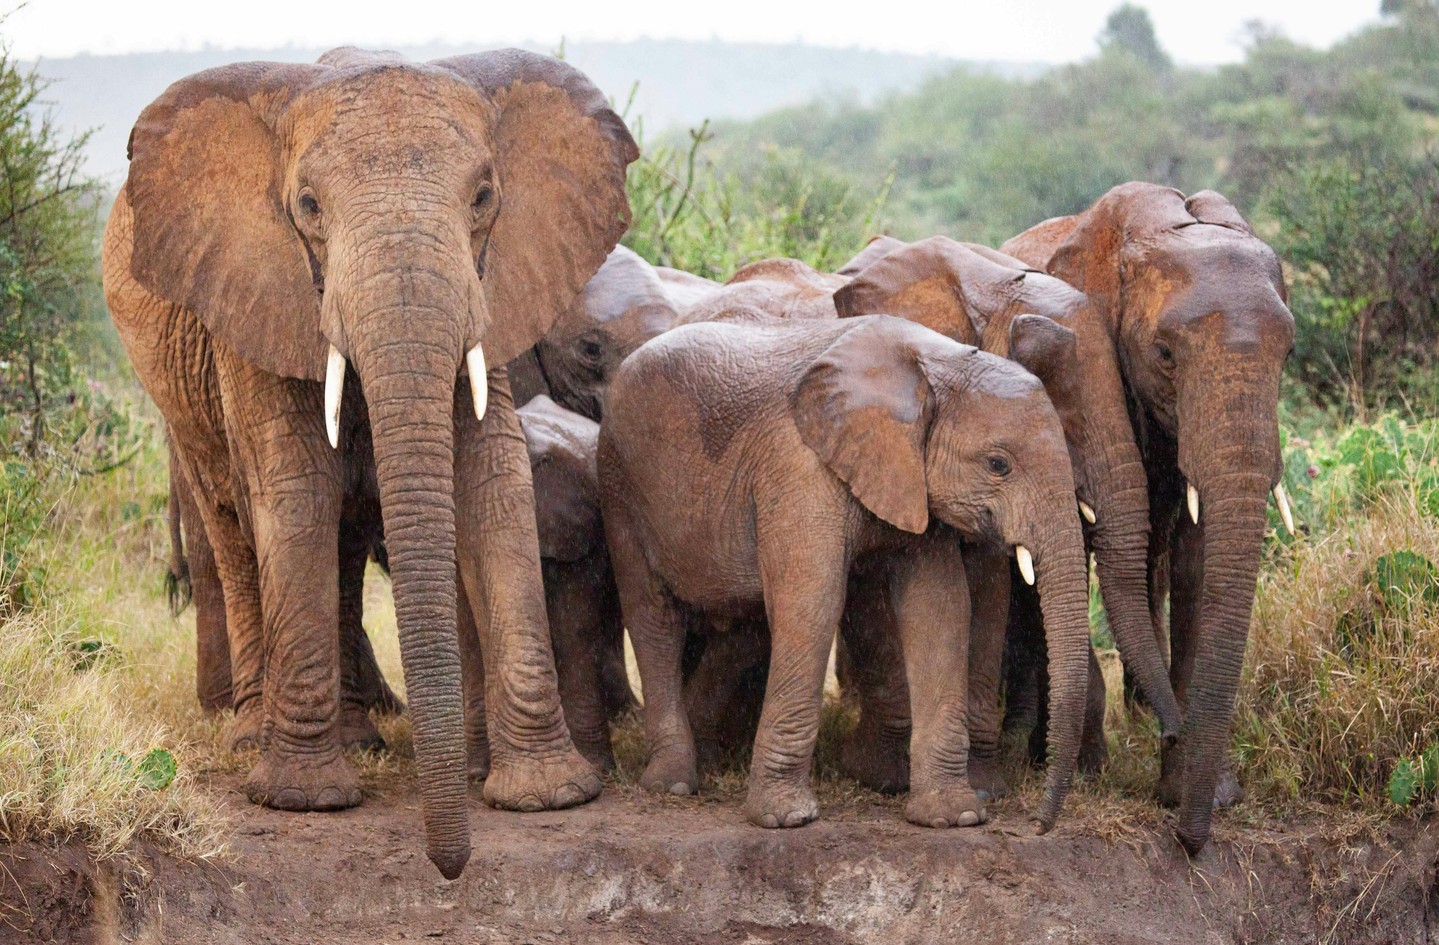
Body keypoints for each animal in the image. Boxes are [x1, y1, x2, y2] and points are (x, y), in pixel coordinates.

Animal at [103, 47, 637, 878]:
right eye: (308, 206)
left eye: (483, 196)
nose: (449, 866)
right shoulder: (257, 292)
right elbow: (293, 490)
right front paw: (303, 799)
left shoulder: (493, 288)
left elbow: (492, 482)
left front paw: (549, 794)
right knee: (232, 523)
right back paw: (255, 734)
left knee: (347, 540)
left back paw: (358, 734)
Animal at [598, 314, 1093, 832]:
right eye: (998, 465)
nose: (1037, 825)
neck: (935, 363)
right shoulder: (798, 468)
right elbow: (812, 603)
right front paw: (784, 819)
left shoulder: (910, 482)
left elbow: (939, 610)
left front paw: (952, 816)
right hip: (619, 483)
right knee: (654, 619)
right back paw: (672, 783)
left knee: (740, 626)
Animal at [832, 235, 1182, 794]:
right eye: (1056, 403)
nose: (1167, 736)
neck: (990, 290)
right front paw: (885, 775)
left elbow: (989, 585)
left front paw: (982, 781)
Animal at [1001, 182, 1296, 855]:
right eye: (1164, 354)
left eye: (1290, 353)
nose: (1190, 842)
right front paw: (1093, 769)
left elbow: (1196, 563)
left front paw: (1202, 791)